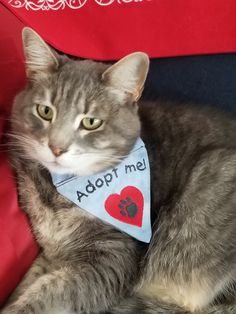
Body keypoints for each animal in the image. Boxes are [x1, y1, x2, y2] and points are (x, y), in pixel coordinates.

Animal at [1, 27, 236, 314]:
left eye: (91, 122)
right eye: (45, 111)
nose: (56, 147)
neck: (58, 190)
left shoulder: (112, 258)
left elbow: (49, 293)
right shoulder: (51, 252)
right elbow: (31, 279)